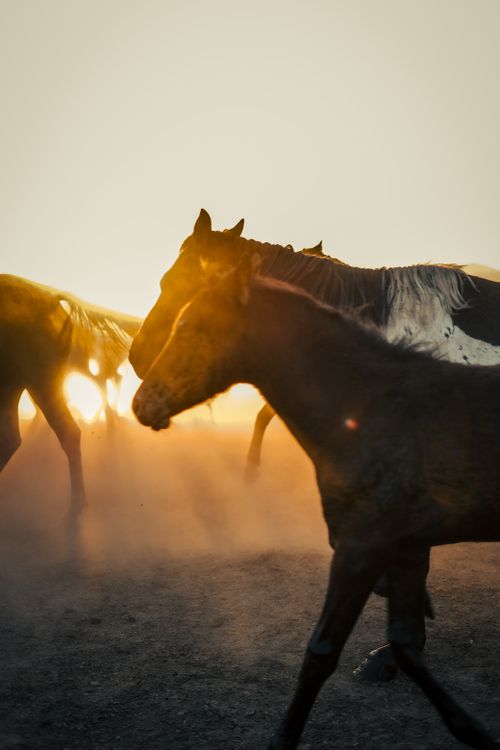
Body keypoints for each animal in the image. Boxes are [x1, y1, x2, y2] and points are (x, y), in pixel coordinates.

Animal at [132, 260, 500, 750]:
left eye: (193, 324)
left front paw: (282, 739)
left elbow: (321, 652)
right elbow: (404, 644)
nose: (141, 402)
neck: (375, 410)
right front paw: (472, 730)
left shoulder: (360, 549)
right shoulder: (403, 548)